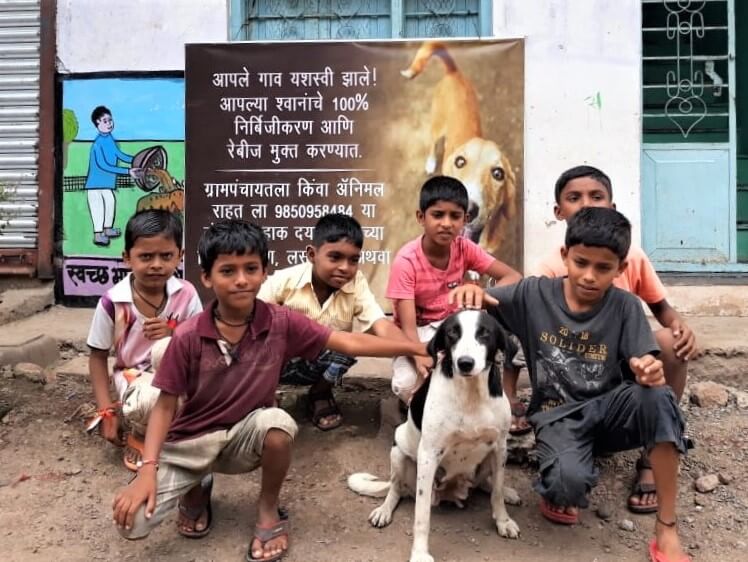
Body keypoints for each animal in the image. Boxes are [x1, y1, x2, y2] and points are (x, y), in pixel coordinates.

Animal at [346, 308, 516, 556]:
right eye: (452, 333)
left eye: (484, 333)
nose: (465, 363)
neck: (471, 393)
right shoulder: (428, 455)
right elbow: (422, 515)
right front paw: (419, 554)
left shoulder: (500, 446)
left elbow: (497, 492)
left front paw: (503, 520)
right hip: (398, 453)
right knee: (395, 489)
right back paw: (384, 510)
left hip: (489, 458)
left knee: (488, 482)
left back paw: (507, 492)